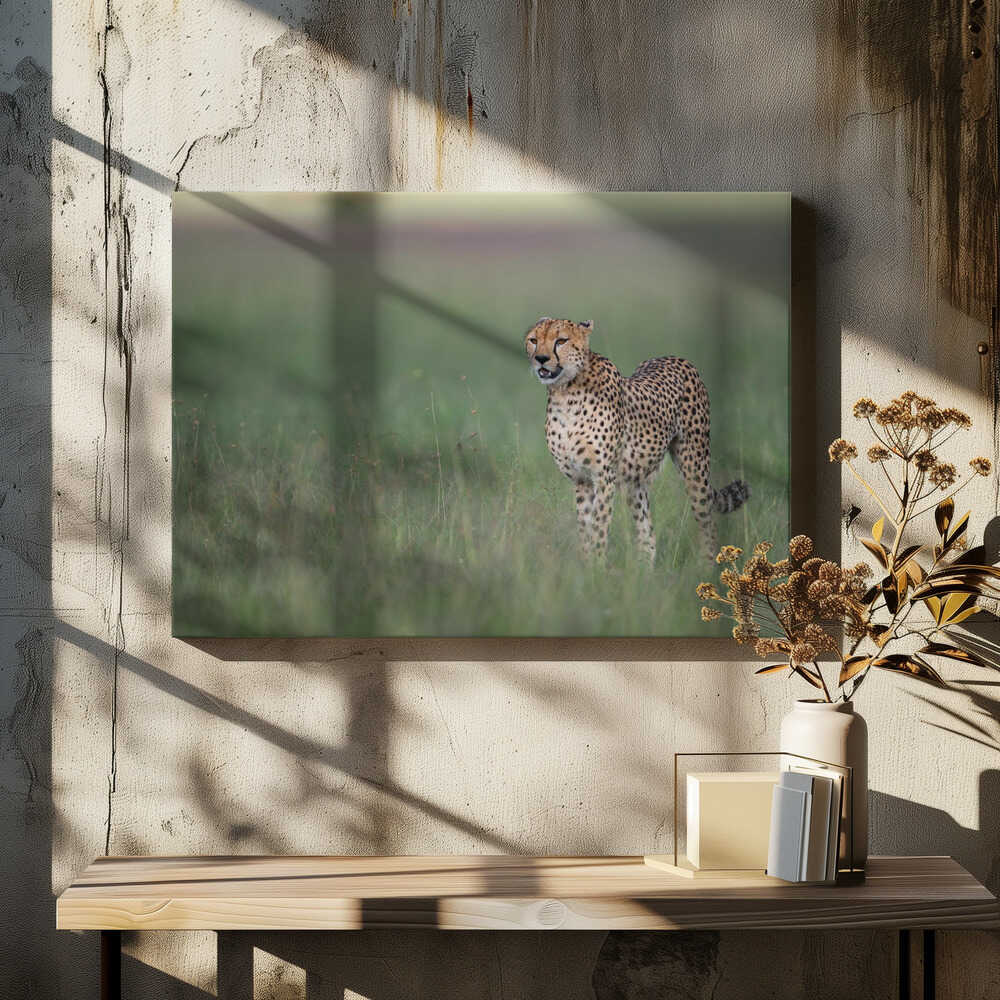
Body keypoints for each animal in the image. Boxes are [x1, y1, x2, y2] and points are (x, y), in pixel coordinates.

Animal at [524, 316, 749, 562]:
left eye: (561, 340)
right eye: (534, 340)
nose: (541, 359)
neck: (564, 393)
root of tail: (675, 357)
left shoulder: (604, 477)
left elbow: (599, 529)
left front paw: (596, 566)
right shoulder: (581, 480)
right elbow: (585, 530)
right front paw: (586, 565)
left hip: (694, 467)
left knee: (708, 525)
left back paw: (707, 566)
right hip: (636, 482)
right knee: (648, 536)